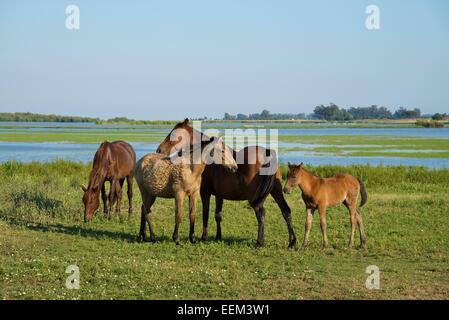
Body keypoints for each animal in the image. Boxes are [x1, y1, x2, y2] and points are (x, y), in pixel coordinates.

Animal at [156, 119, 296, 249]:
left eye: (173, 135)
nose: (159, 150)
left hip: (255, 197)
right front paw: (218, 236)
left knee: (261, 214)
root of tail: (266, 153)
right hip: (276, 191)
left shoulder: (205, 192)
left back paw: (259, 242)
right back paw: (292, 242)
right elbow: (218, 215)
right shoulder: (219, 195)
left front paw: (204, 237)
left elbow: (205, 214)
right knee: (286, 211)